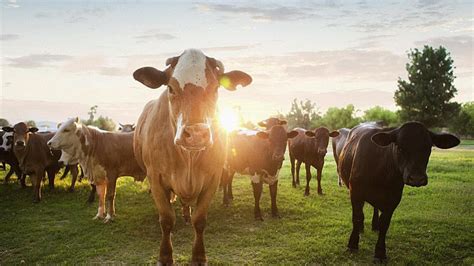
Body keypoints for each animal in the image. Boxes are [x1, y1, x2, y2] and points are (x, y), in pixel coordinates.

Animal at [131, 48, 254, 264]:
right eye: (171, 88)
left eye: (216, 89)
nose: (196, 134)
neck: (188, 159)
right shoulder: (155, 178)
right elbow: (166, 219)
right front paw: (165, 256)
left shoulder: (213, 178)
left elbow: (200, 220)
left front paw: (198, 255)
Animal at [338, 121, 462, 262]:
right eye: (400, 147)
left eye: (428, 148)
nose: (417, 178)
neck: (382, 172)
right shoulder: (355, 192)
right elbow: (357, 217)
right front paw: (353, 244)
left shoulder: (394, 198)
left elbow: (384, 224)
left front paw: (380, 253)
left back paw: (374, 225)